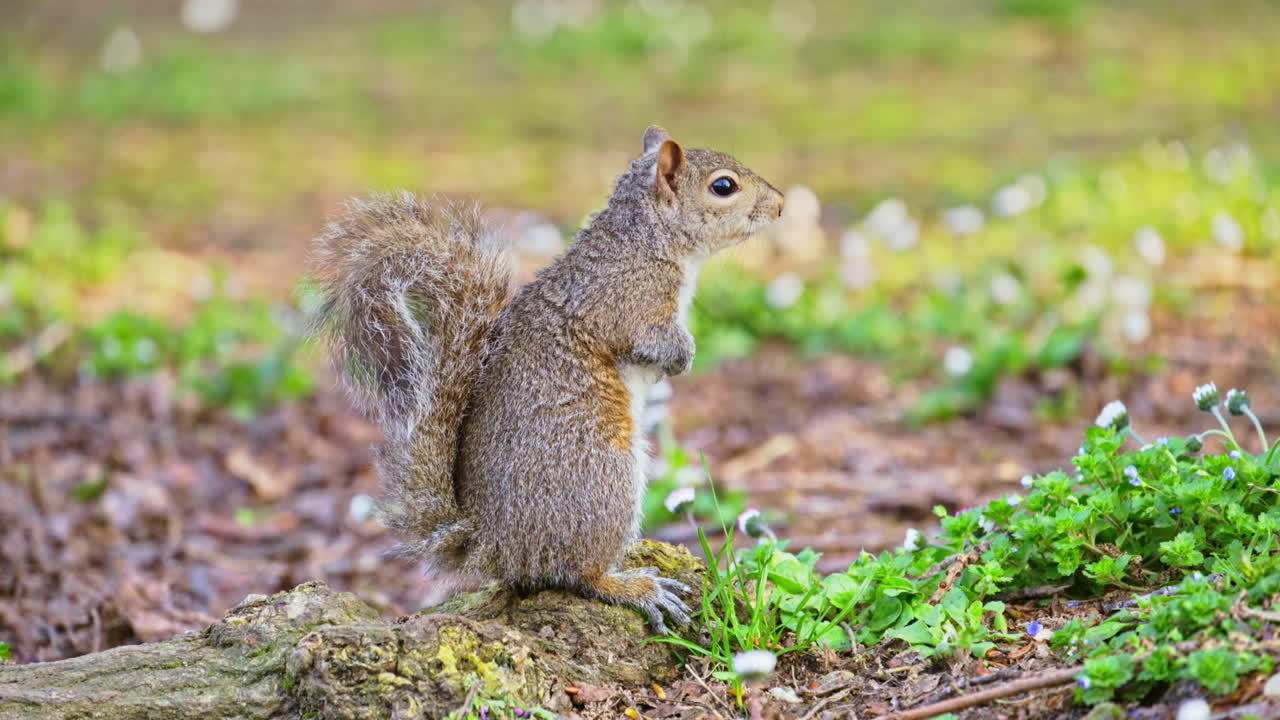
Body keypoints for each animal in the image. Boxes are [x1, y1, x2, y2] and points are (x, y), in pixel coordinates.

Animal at [310, 126, 785, 632]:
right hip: (602, 478)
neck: (645, 239)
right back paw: (635, 587)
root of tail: (495, 546)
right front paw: (682, 357)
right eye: (723, 186)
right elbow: (650, 340)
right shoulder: (629, 303)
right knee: (579, 572)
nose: (779, 205)